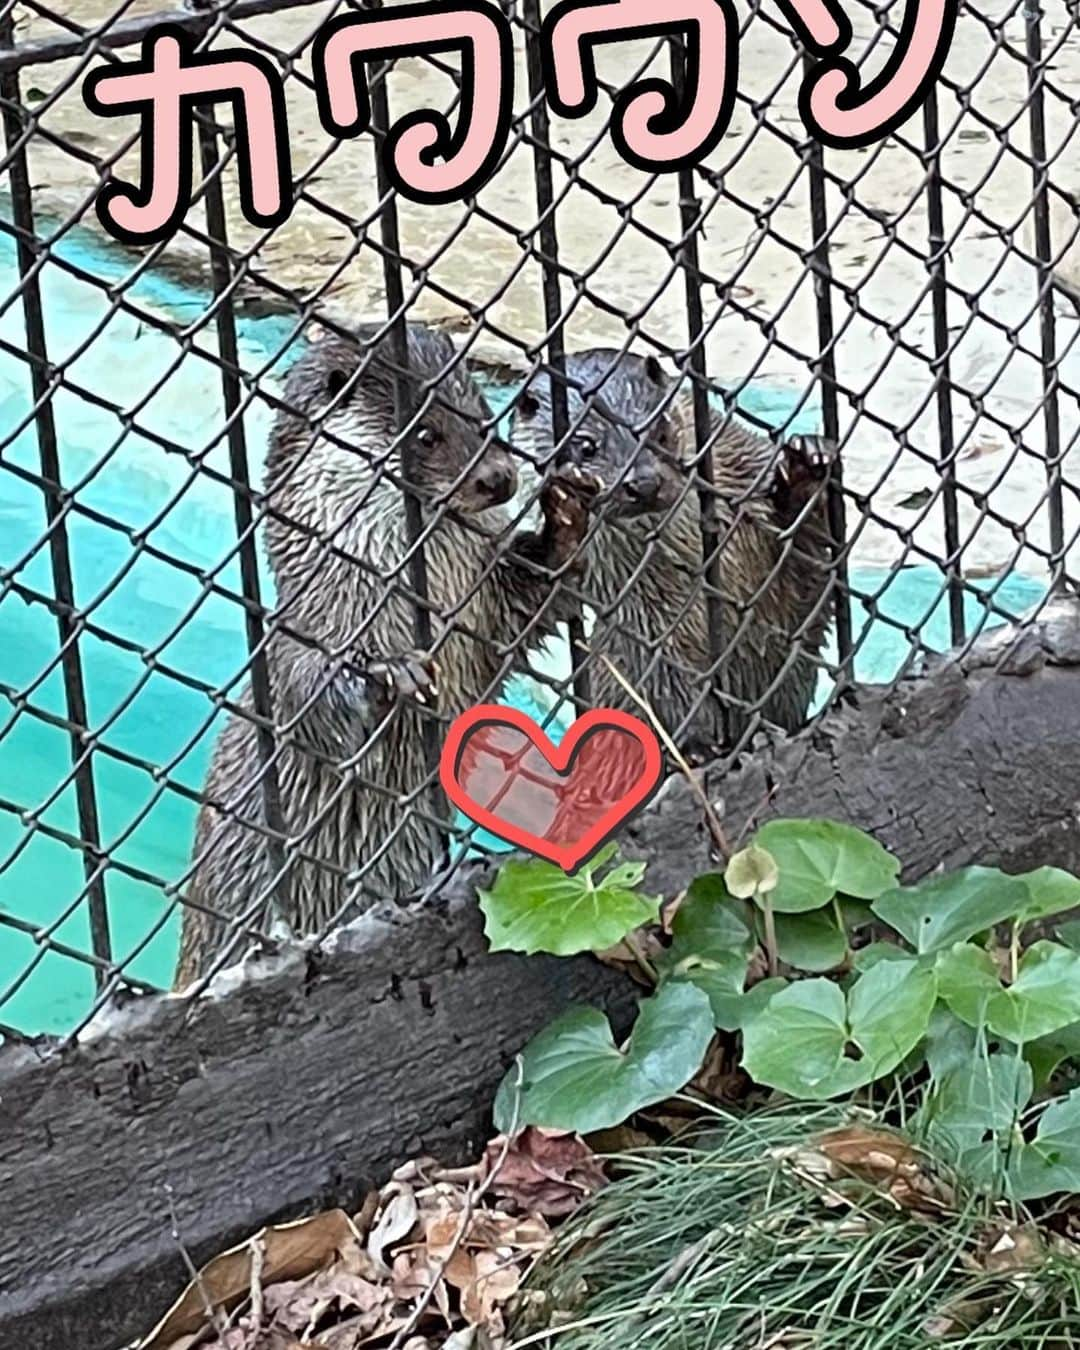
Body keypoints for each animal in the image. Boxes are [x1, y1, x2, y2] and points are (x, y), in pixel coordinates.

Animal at [180, 321, 594, 988]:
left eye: (485, 418)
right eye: (425, 434)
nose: (500, 479)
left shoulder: (483, 616)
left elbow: (526, 604)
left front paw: (565, 523)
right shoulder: (302, 643)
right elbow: (314, 699)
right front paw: (386, 675)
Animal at [513, 351, 837, 750]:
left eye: (659, 430)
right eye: (587, 446)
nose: (643, 482)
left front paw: (807, 464)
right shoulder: (646, 624)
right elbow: (668, 686)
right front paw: (697, 747)